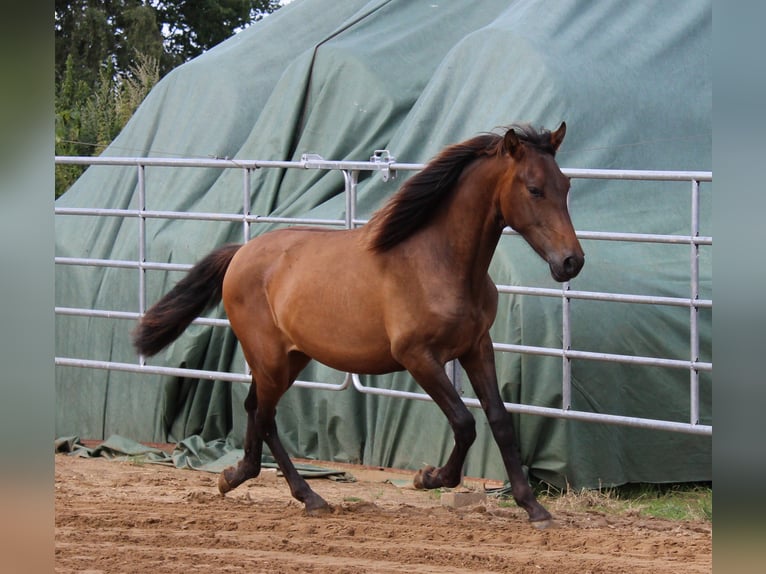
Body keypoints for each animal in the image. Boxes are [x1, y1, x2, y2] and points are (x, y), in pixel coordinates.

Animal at [134, 124, 588, 528]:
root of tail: (241, 253)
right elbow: (464, 422)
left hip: (291, 359)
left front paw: (534, 508)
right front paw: (429, 477)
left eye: (566, 186)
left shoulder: (477, 347)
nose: (571, 262)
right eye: (534, 189)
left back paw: (276, 487)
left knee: (257, 412)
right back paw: (269, 485)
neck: (437, 260)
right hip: (269, 358)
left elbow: (500, 421)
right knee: (263, 416)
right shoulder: (418, 357)